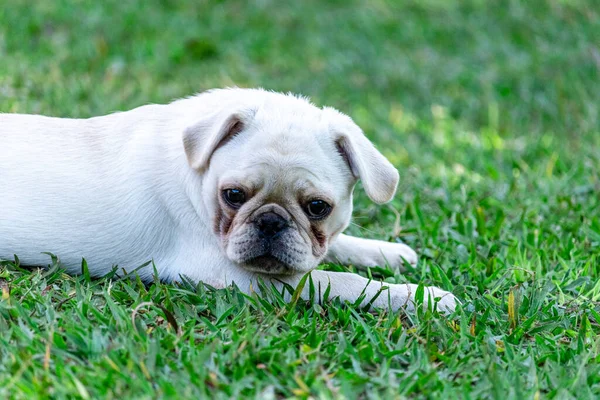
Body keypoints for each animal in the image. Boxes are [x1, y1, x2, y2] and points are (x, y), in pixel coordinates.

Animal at [0, 89, 458, 314]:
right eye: (233, 196)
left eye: (318, 208)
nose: (271, 222)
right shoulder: (239, 276)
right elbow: (338, 281)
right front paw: (421, 297)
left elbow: (336, 246)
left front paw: (387, 253)